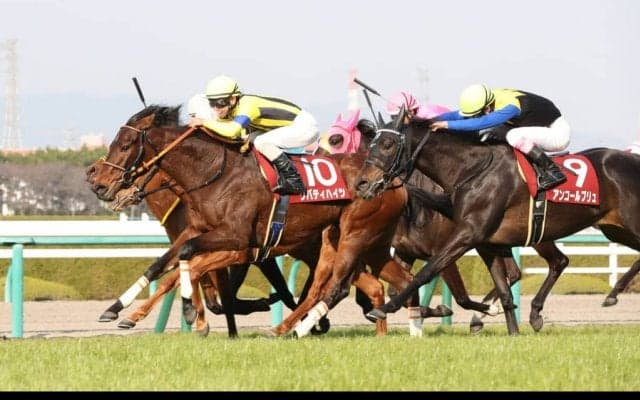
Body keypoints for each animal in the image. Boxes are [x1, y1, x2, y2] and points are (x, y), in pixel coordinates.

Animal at [87, 105, 440, 338]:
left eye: (125, 145)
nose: (98, 181)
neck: (214, 173)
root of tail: (394, 182)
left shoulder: (237, 241)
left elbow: (189, 265)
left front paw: (194, 315)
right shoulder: (200, 230)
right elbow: (166, 264)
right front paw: (120, 310)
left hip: (354, 235)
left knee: (335, 286)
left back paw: (297, 327)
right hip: (361, 242)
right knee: (390, 280)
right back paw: (398, 327)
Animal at [321, 110, 570, 333]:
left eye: (335, 139)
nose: (361, 183)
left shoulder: (450, 246)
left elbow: (456, 295)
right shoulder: (406, 251)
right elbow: (399, 289)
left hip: (537, 235)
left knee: (556, 262)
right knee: (519, 271)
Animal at [355, 112, 640, 334]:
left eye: (388, 143)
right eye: (370, 145)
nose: (362, 183)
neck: (472, 171)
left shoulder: (465, 236)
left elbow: (428, 273)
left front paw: (383, 309)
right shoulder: (486, 242)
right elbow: (503, 290)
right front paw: (511, 330)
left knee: (560, 261)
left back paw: (608, 295)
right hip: (614, 230)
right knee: (557, 262)